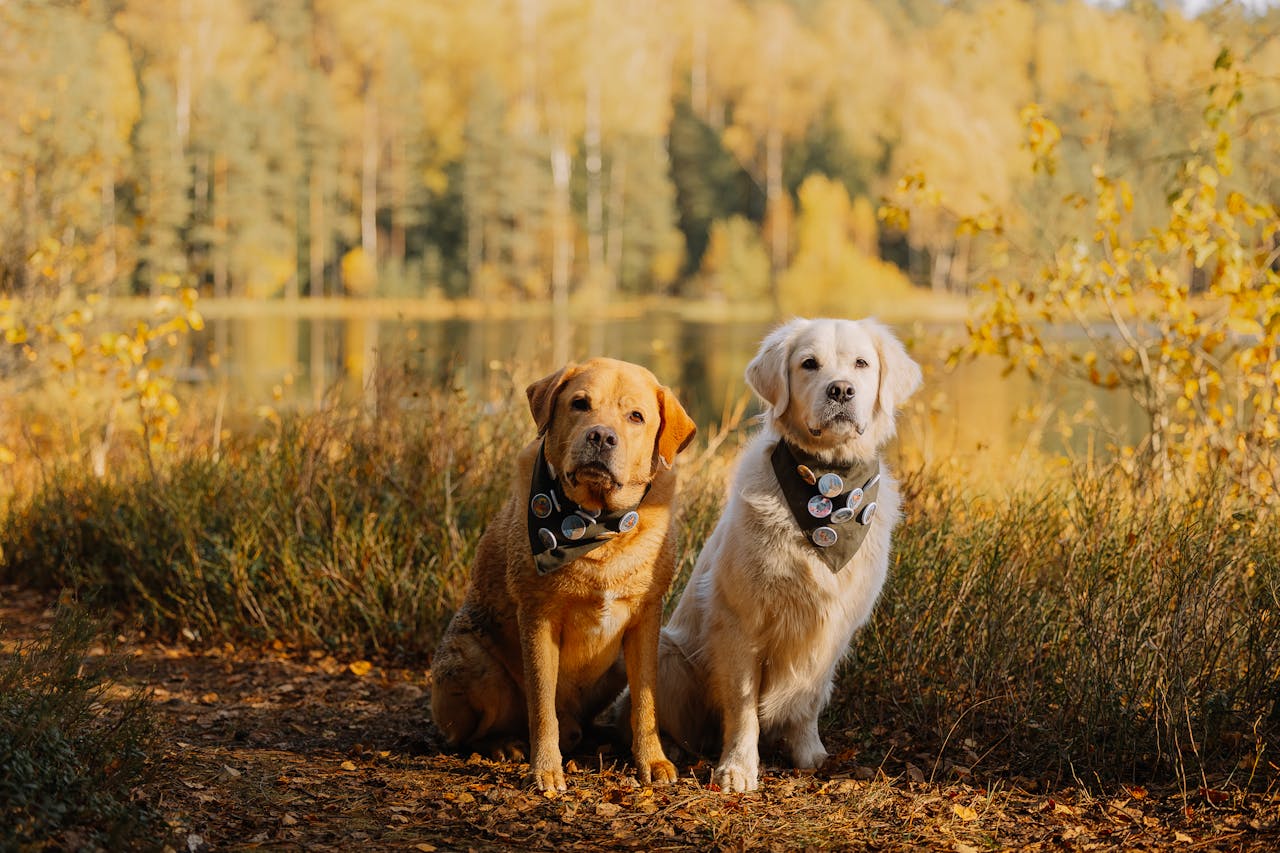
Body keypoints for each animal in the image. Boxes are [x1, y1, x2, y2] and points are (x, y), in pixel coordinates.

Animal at [430, 356, 696, 788]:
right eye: (580, 404)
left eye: (635, 416)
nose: (601, 436)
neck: (595, 525)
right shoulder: (537, 618)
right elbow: (541, 705)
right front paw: (545, 769)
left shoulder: (646, 620)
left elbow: (645, 701)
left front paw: (652, 760)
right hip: (468, 660)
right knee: (467, 736)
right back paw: (504, 744)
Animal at [655, 317, 916, 788]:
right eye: (809, 364)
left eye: (861, 363)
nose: (841, 391)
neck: (827, 482)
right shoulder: (741, 622)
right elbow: (742, 708)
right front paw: (738, 768)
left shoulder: (834, 628)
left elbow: (808, 699)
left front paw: (808, 753)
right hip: (668, 653)